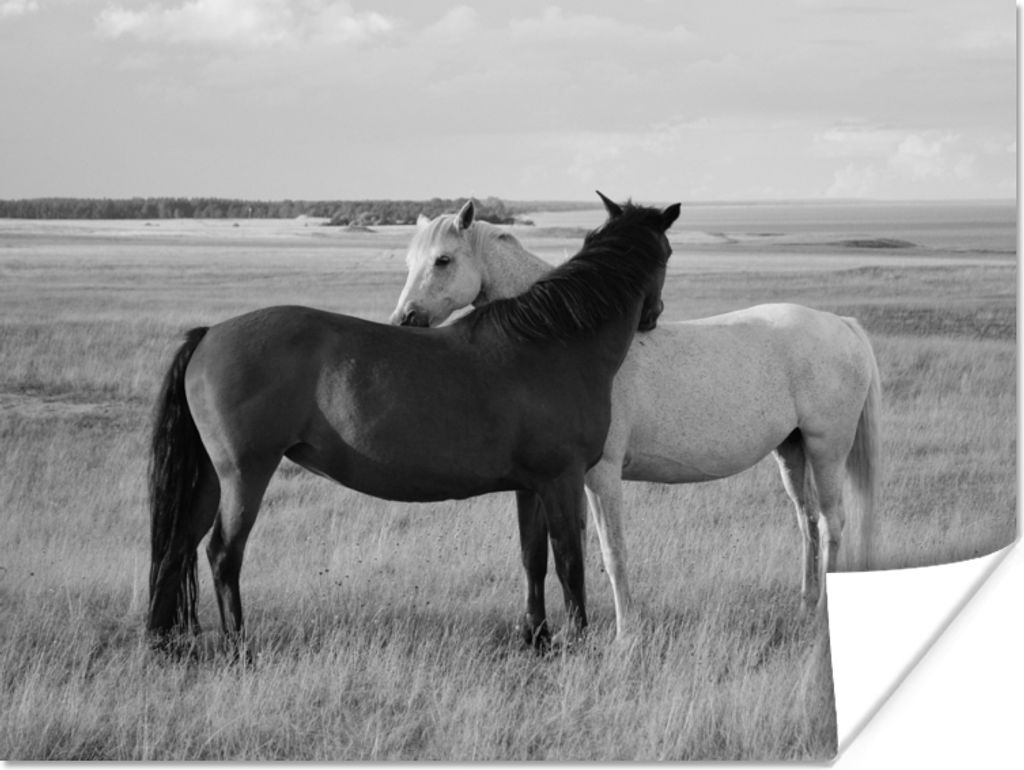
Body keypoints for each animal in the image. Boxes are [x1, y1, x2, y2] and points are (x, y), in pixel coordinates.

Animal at [147, 194, 680, 652]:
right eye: (669, 252)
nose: (653, 316)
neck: (553, 341)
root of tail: (209, 334)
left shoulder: (531, 486)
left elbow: (534, 559)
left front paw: (538, 639)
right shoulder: (562, 480)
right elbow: (570, 561)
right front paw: (576, 641)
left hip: (210, 479)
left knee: (176, 546)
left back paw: (162, 642)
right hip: (245, 475)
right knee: (223, 553)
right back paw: (239, 648)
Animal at [391, 196, 881, 641]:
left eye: (443, 260)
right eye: (410, 261)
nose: (404, 319)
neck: (567, 337)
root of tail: (840, 323)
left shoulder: (601, 475)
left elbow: (612, 554)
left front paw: (626, 633)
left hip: (827, 448)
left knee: (831, 523)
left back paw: (823, 617)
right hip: (791, 450)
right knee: (807, 522)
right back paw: (806, 607)